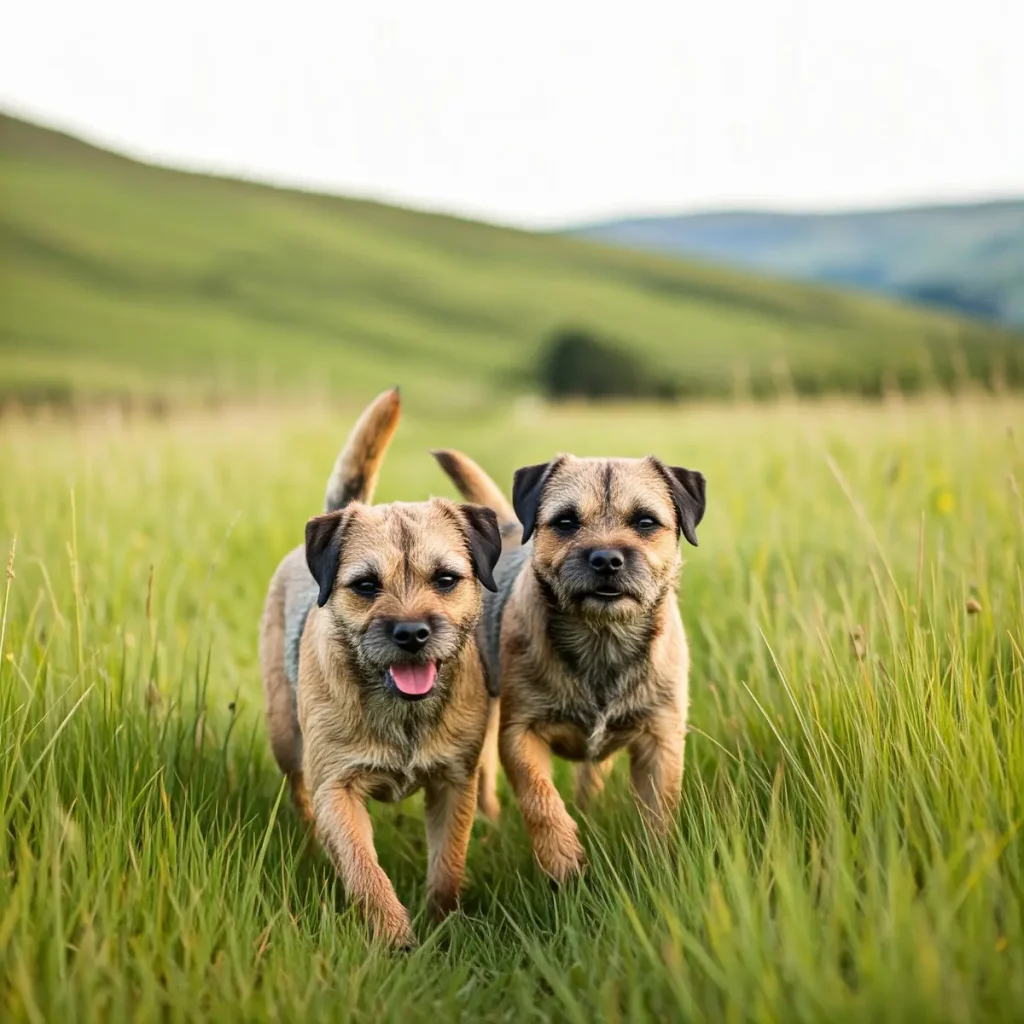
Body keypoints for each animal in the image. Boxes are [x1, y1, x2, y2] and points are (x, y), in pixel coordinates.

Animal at [258, 387, 501, 946]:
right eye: (366, 585)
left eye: (446, 578)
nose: (411, 633)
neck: (401, 710)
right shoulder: (338, 789)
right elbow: (365, 871)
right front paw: (395, 940)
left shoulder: (454, 783)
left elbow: (448, 864)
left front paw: (442, 924)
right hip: (285, 736)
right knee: (298, 791)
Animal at [432, 452, 704, 884]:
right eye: (565, 522)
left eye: (645, 522)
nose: (606, 559)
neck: (601, 637)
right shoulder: (520, 733)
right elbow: (539, 797)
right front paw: (562, 860)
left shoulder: (660, 740)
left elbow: (659, 813)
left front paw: (659, 868)